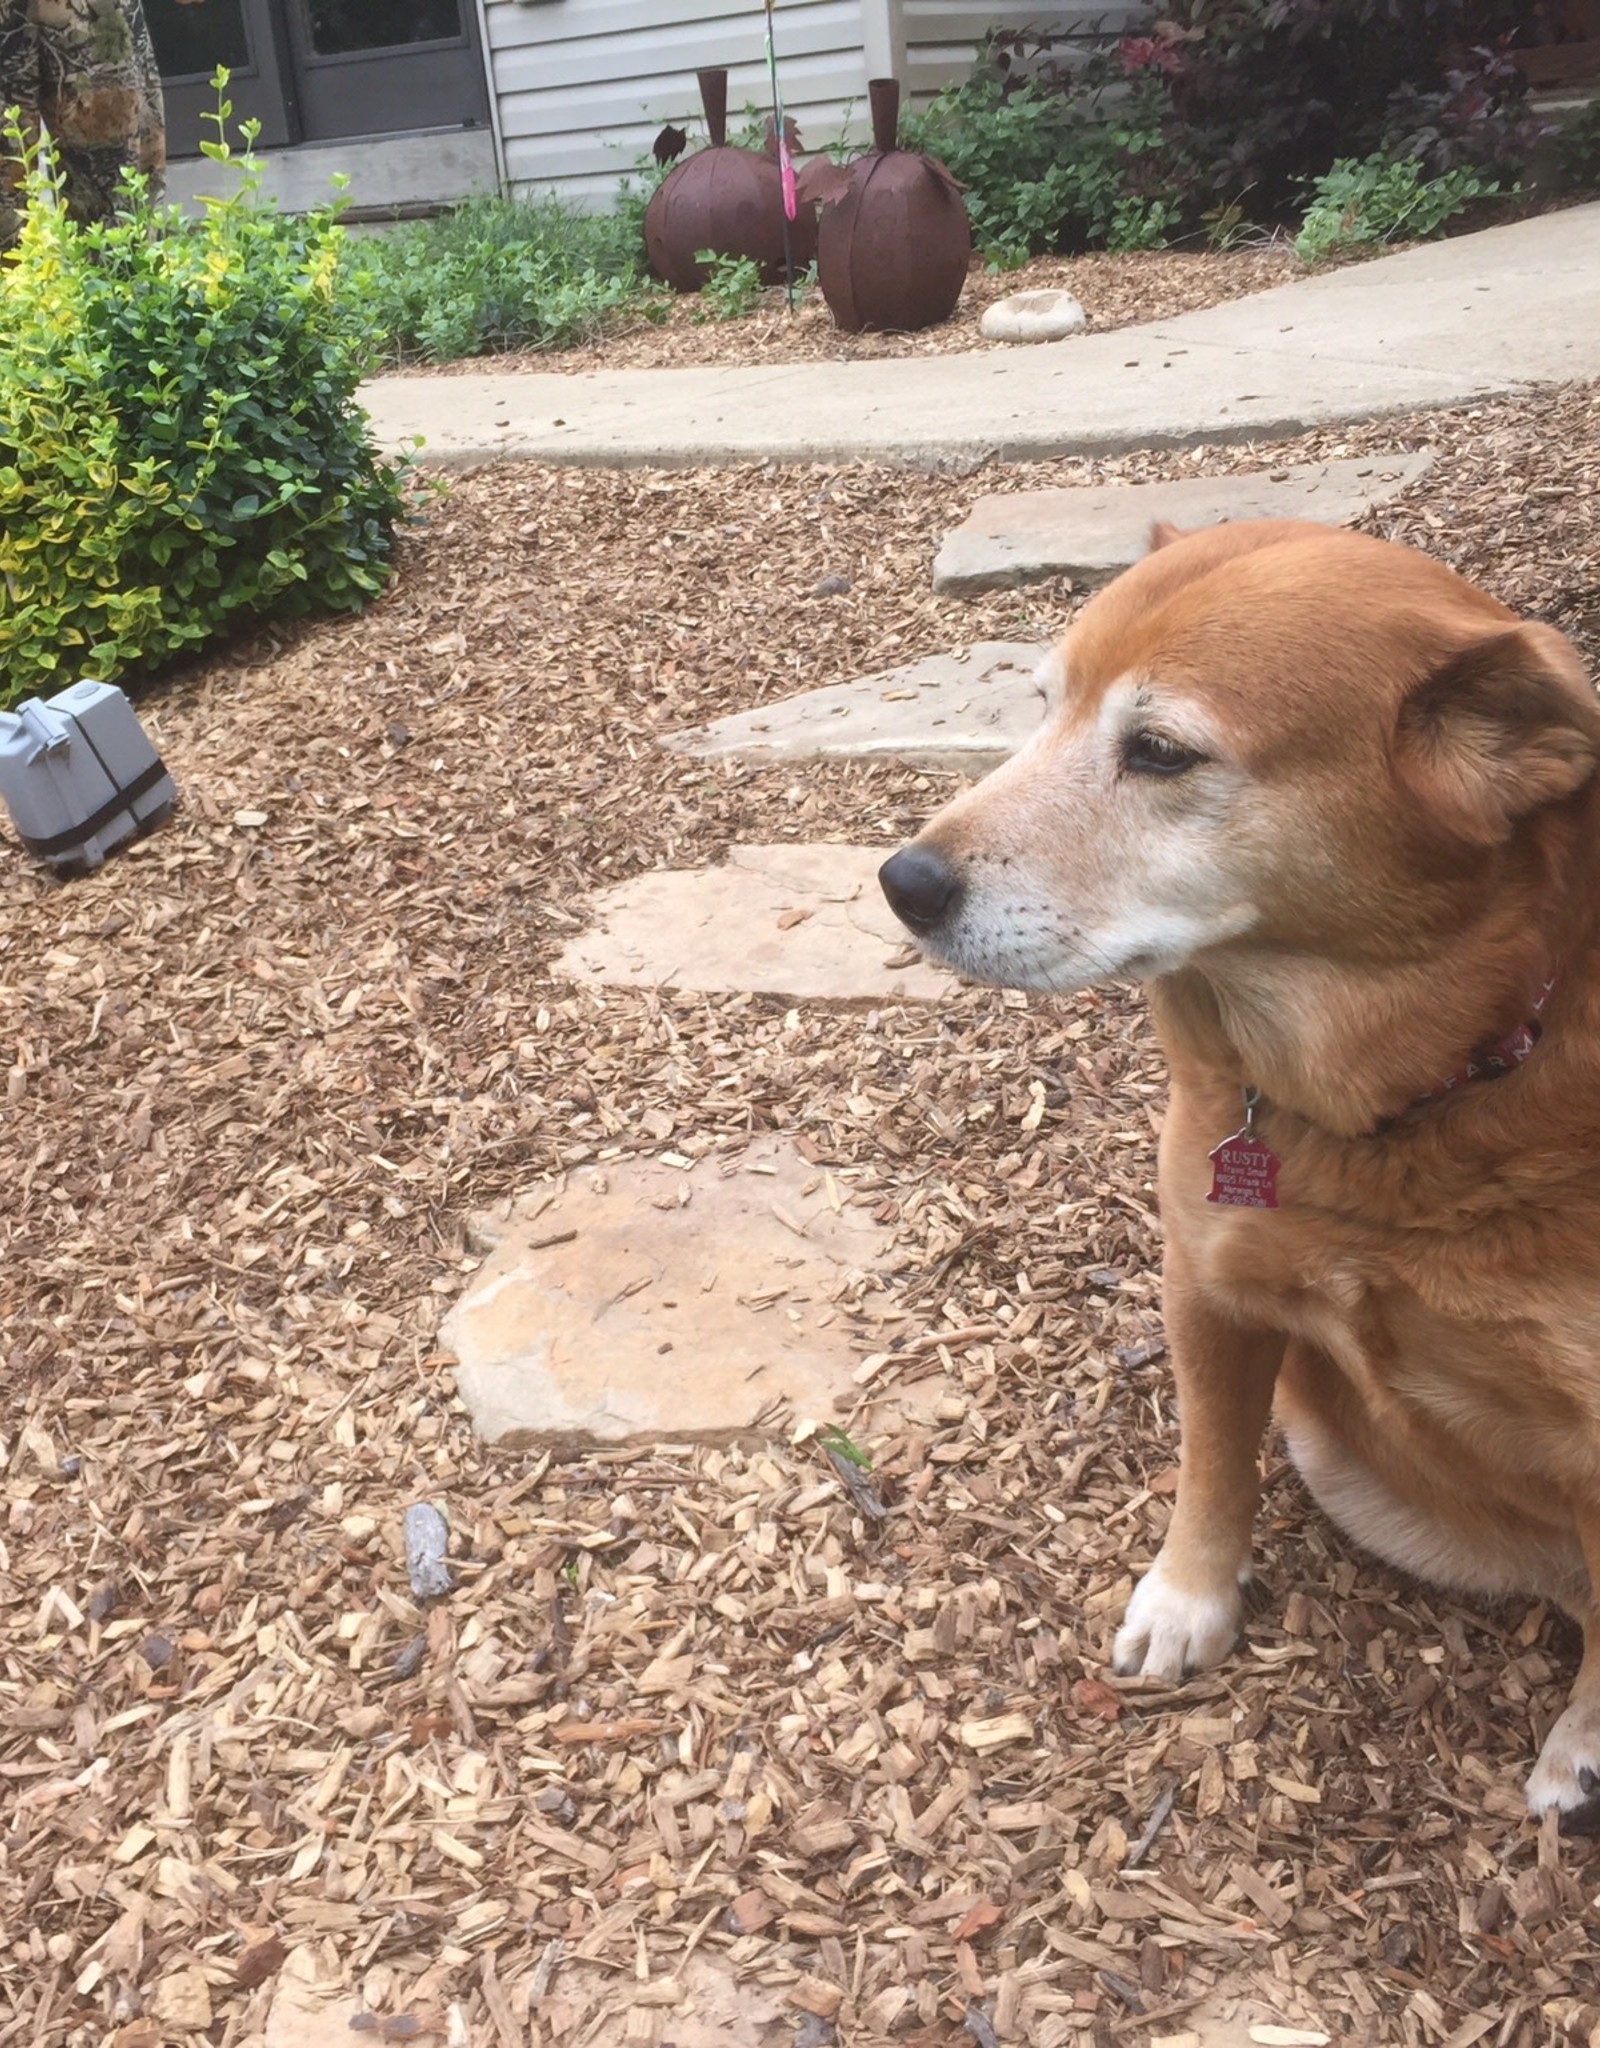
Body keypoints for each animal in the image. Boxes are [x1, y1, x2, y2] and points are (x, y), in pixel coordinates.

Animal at [880, 516, 1597, 1826]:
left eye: (1159, 751)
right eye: (1044, 705)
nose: (901, 880)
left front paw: (1583, 1735)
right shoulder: (1205, 1284)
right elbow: (1212, 1464)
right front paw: (1186, 1602)